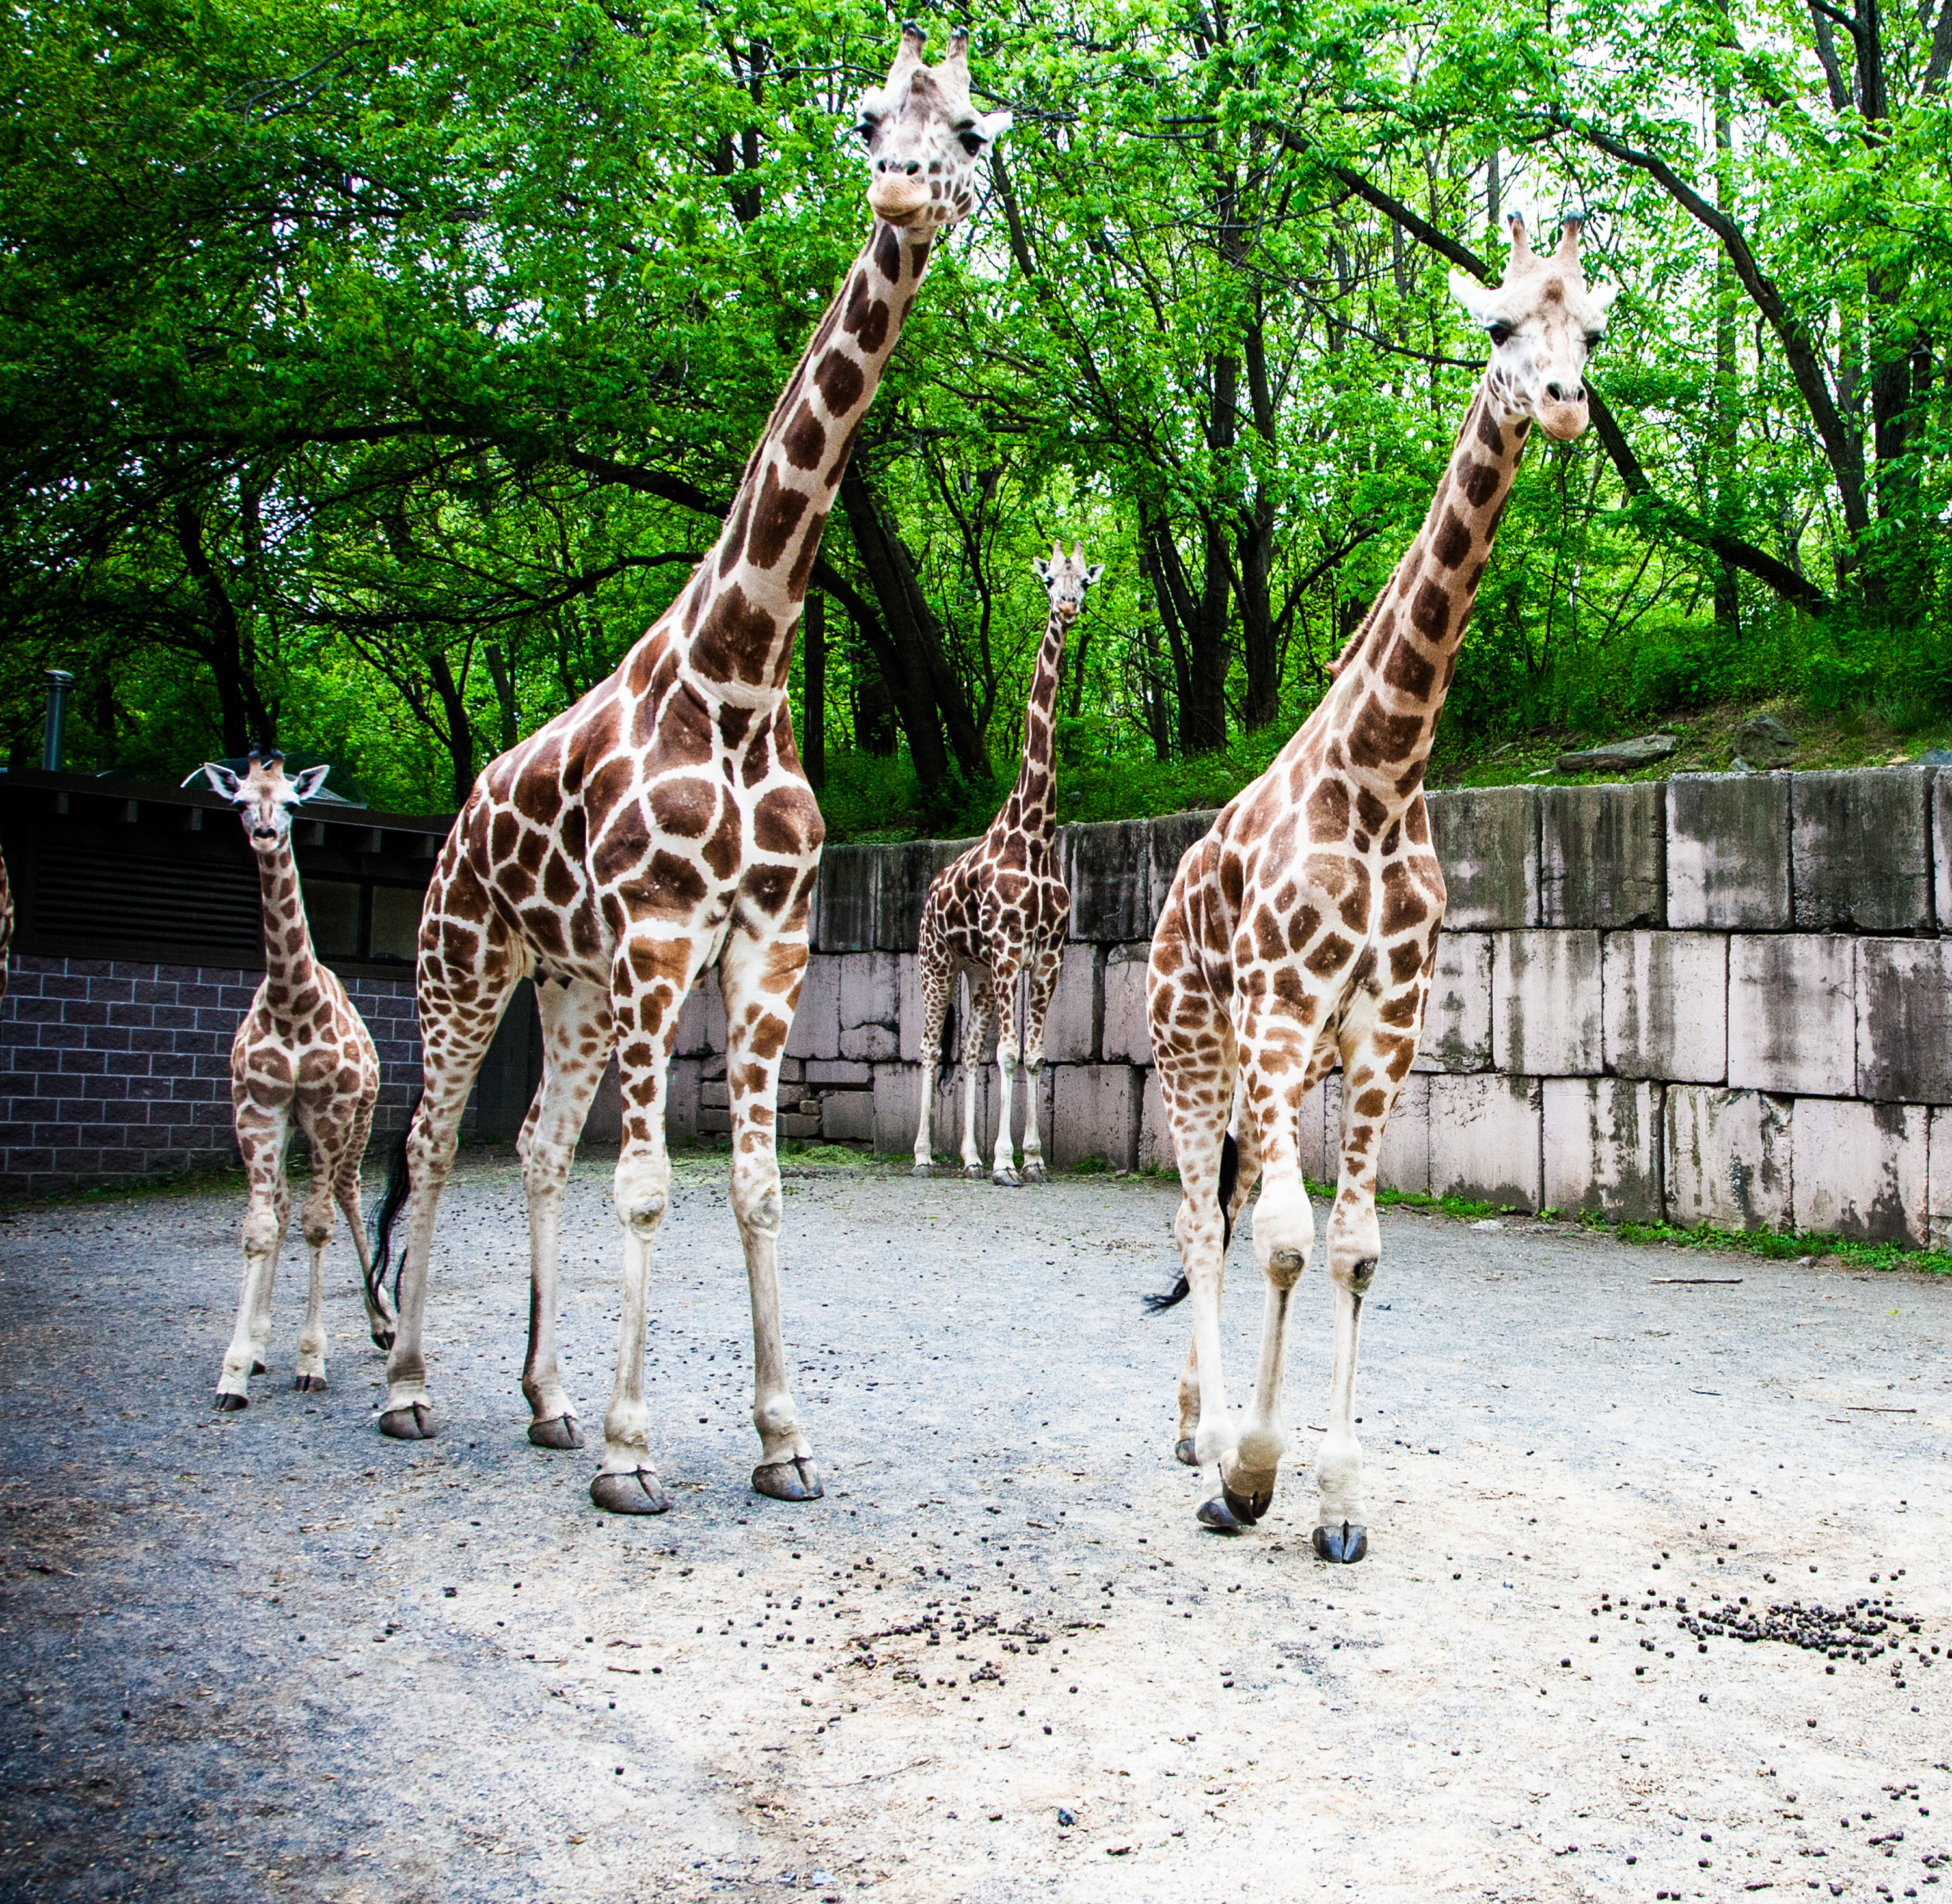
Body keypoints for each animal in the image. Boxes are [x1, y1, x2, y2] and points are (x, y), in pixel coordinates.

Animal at [200, 748, 395, 1410]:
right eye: (238, 801)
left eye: (291, 802)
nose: (264, 832)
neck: (291, 1000)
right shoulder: (256, 1109)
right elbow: (262, 1226)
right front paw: (236, 1368)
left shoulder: (329, 1112)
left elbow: (318, 1223)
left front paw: (312, 1361)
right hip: (287, 1126)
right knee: (283, 1205)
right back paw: (260, 1346)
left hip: (357, 1122)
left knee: (346, 1196)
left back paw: (383, 1323)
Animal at [370, 25, 1013, 1513]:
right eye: (864, 118)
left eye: (965, 131)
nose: (901, 192)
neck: (743, 669)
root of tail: (462, 808)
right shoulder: (664, 934)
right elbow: (651, 1184)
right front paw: (631, 1453)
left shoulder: (765, 946)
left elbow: (757, 1188)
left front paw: (781, 1442)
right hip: (464, 956)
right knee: (430, 1138)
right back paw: (412, 1388)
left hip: (568, 981)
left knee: (536, 1144)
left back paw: (541, 1401)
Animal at [911, 542, 1100, 1184]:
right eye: (1047, 579)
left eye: (1083, 581)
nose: (1066, 607)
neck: (1036, 835)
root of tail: (929, 891)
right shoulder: (1007, 949)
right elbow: (1009, 1054)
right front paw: (1004, 1162)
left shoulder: (1044, 955)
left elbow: (1034, 1056)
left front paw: (1032, 1159)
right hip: (938, 961)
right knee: (929, 1049)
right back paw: (925, 1156)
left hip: (975, 972)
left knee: (967, 1051)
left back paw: (966, 1158)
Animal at [1145, 214, 1613, 1555]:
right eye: (1500, 326)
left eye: (1591, 330)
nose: (1563, 406)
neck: (1385, 771)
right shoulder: (1278, 1013)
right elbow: (1286, 1241)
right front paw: (1252, 1474)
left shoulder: (1381, 1033)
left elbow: (1351, 1249)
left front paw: (1338, 1499)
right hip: (1193, 1050)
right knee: (1201, 1222)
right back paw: (1204, 1439)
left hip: (1276, 1068)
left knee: (1222, 1220)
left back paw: (1199, 1425)